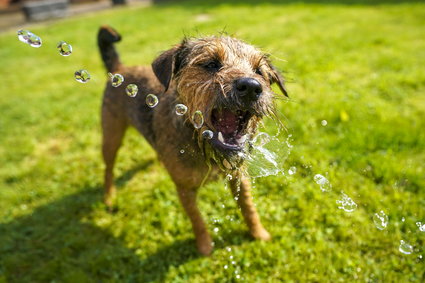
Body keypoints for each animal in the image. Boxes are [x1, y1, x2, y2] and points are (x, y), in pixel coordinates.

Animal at [97, 25, 286, 256]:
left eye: (259, 71)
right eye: (211, 64)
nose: (251, 86)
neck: (202, 143)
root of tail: (120, 68)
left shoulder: (238, 177)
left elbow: (248, 208)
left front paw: (259, 233)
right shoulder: (185, 189)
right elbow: (197, 220)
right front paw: (205, 247)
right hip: (111, 136)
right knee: (108, 169)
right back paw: (109, 197)